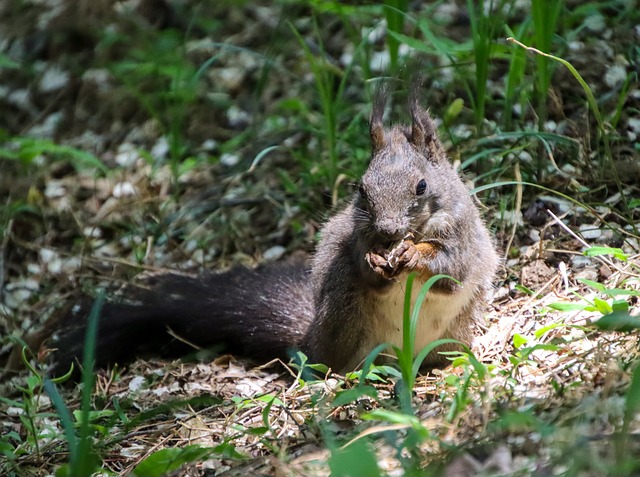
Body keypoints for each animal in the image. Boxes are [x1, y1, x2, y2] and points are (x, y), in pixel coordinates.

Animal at [40, 88, 498, 376]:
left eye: (421, 187)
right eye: (361, 190)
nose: (387, 231)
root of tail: (312, 340)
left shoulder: (462, 236)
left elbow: (450, 269)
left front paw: (415, 254)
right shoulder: (354, 239)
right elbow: (364, 263)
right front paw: (374, 261)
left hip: (451, 331)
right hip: (346, 315)